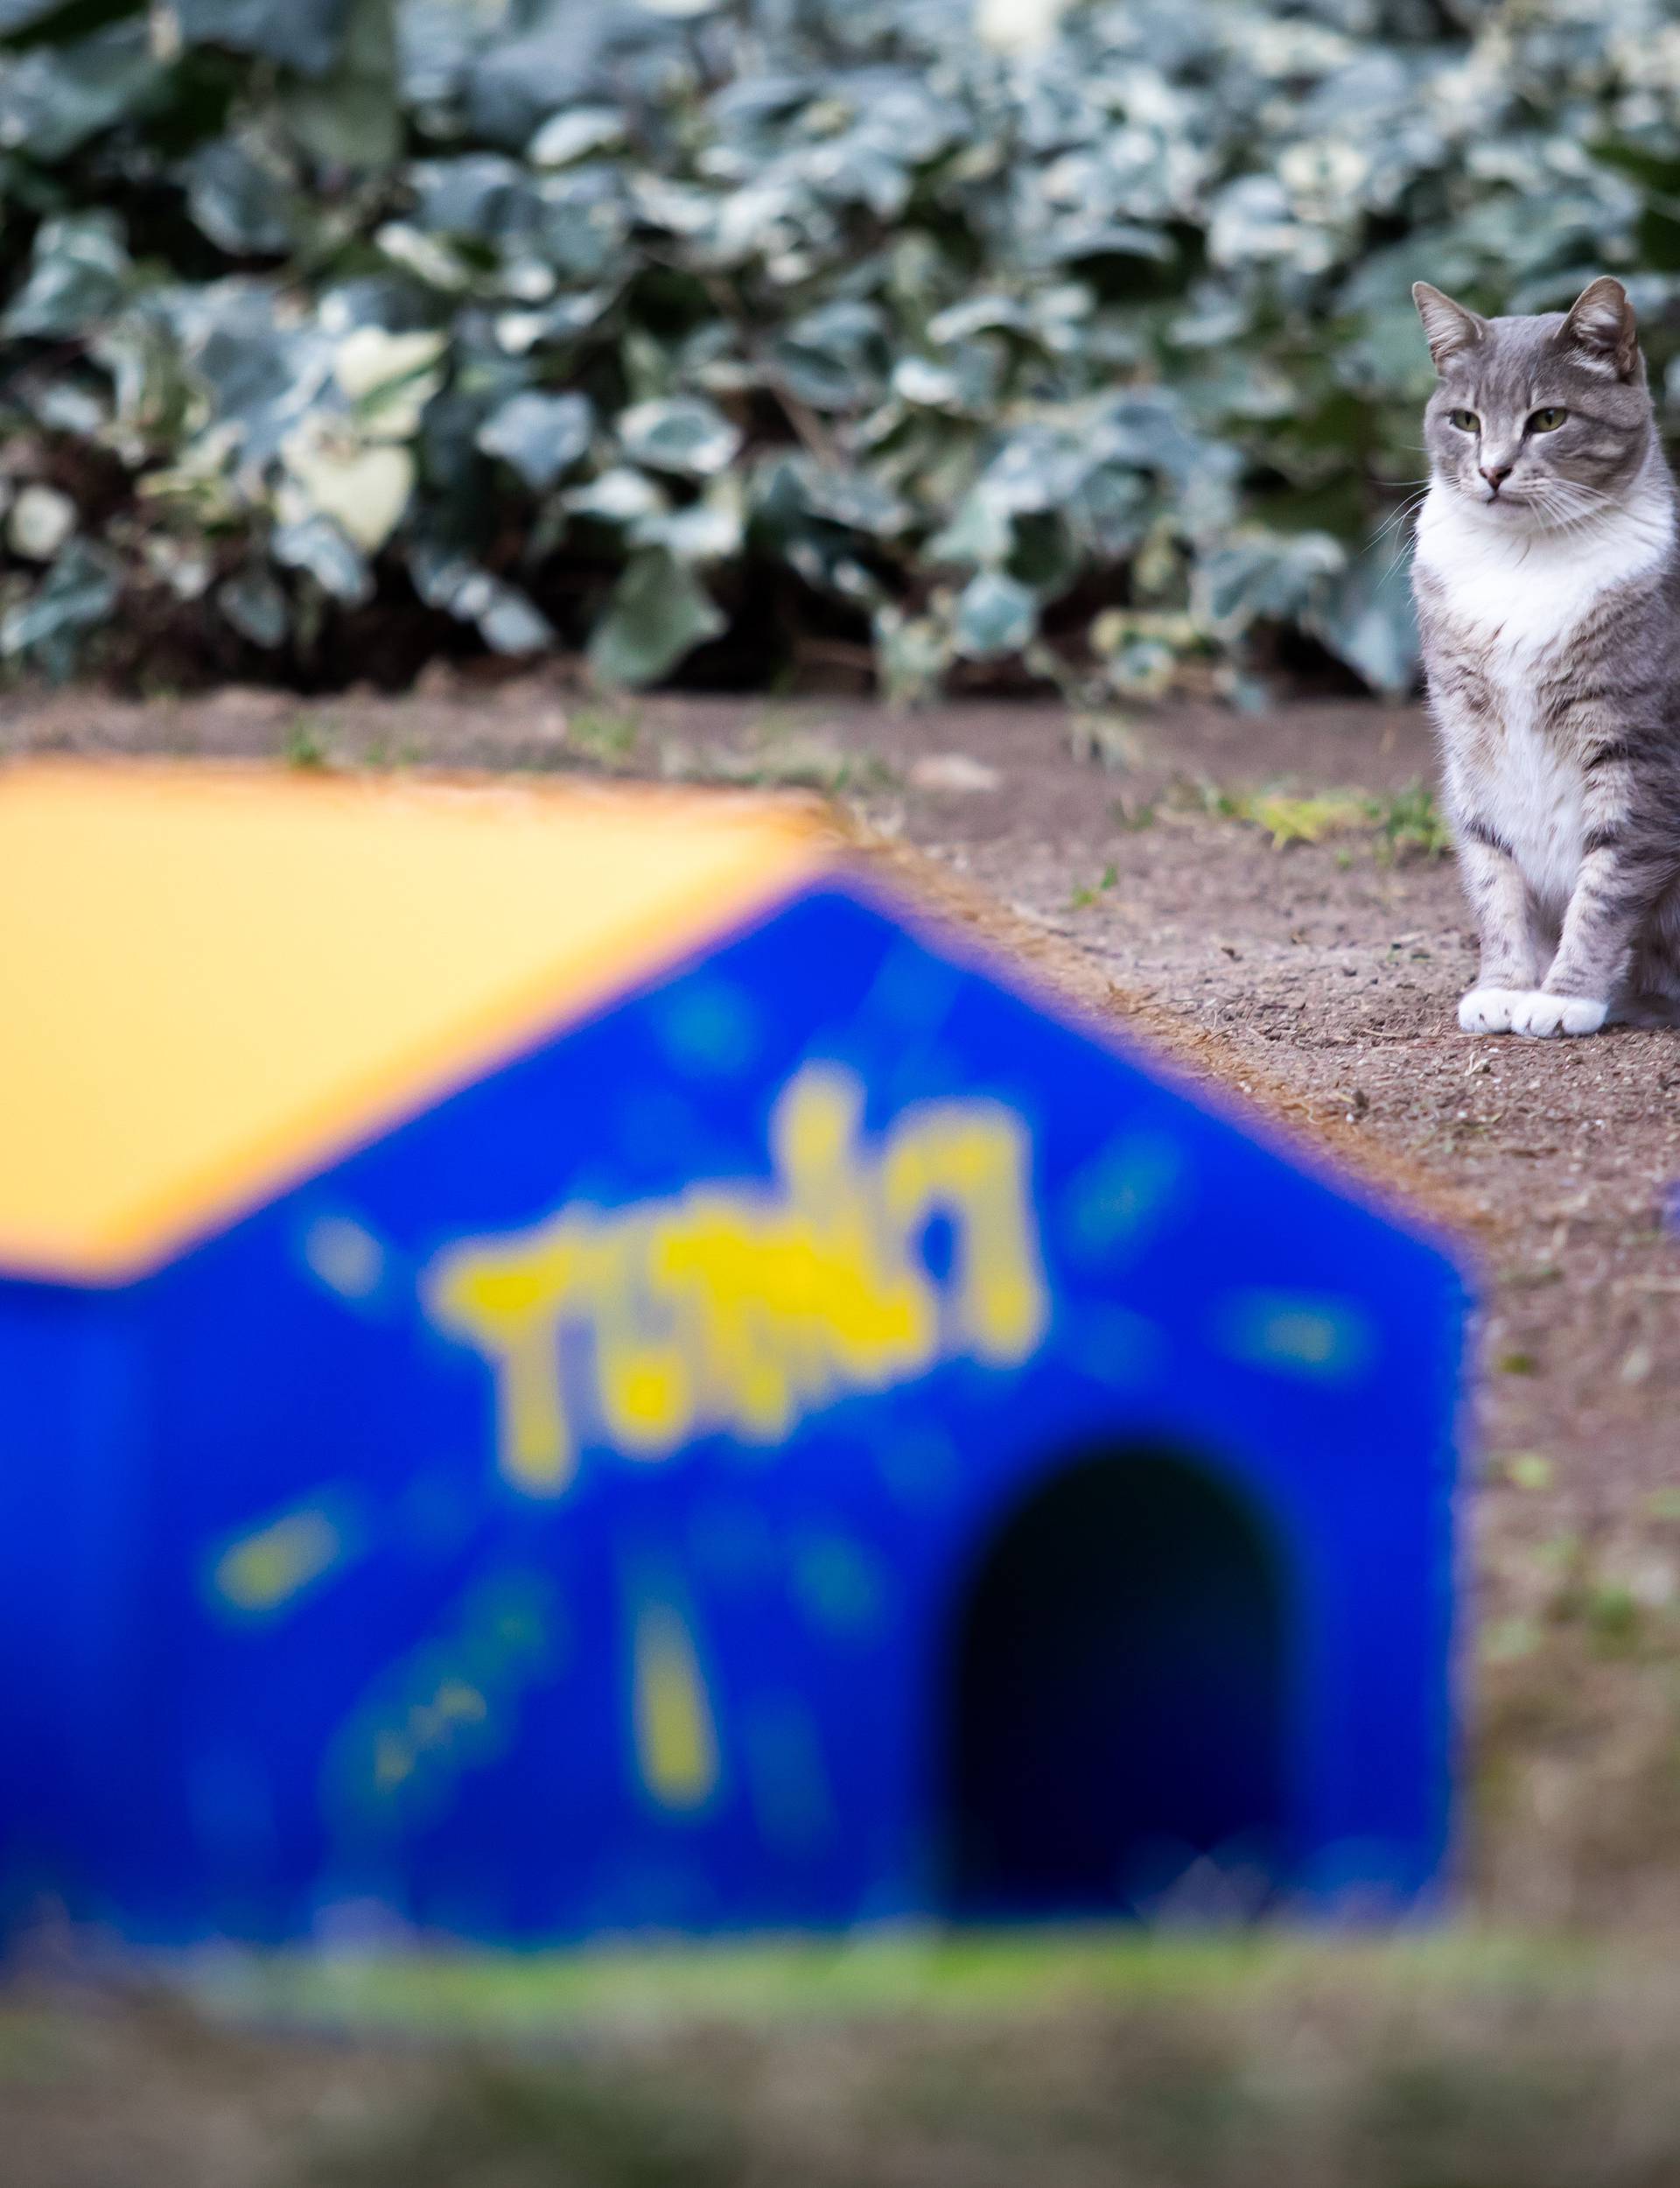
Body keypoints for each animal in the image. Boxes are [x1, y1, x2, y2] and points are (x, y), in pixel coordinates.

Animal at [1409, 277, 1680, 1037]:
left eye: (1549, 419)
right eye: (1465, 421)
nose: (1492, 470)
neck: (1523, 559)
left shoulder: (1637, 747)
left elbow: (1608, 884)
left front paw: (1565, 997)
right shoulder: (1471, 750)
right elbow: (1493, 876)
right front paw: (1504, 986)